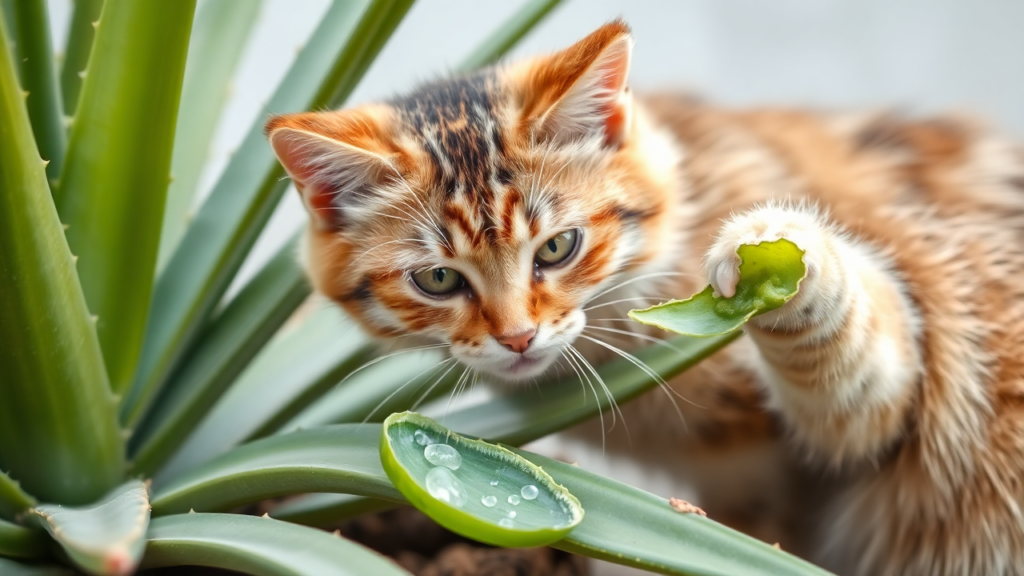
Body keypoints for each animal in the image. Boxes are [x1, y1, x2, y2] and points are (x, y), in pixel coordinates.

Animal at [264, 20, 1024, 569]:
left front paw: (781, 263)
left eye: (558, 248)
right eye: (439, 279)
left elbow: (868, 383)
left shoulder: (899, 390)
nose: (517, 337)